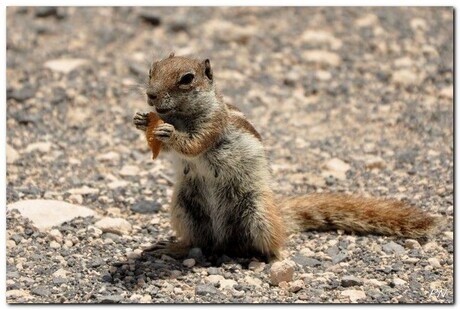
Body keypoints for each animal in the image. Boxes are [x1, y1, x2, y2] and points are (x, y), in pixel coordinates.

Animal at [132, 53, 438, 262]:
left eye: (187, 78)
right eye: (151, 69)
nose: (150, 95)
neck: (180, 117)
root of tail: (224, 244)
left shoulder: (212, 125)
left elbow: (193, 144)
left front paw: (168, 132)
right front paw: (140, 120)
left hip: (259, 213)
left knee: (274, 239)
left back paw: (276, 259)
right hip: (183, 208)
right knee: (197, 242)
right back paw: (173, 247)